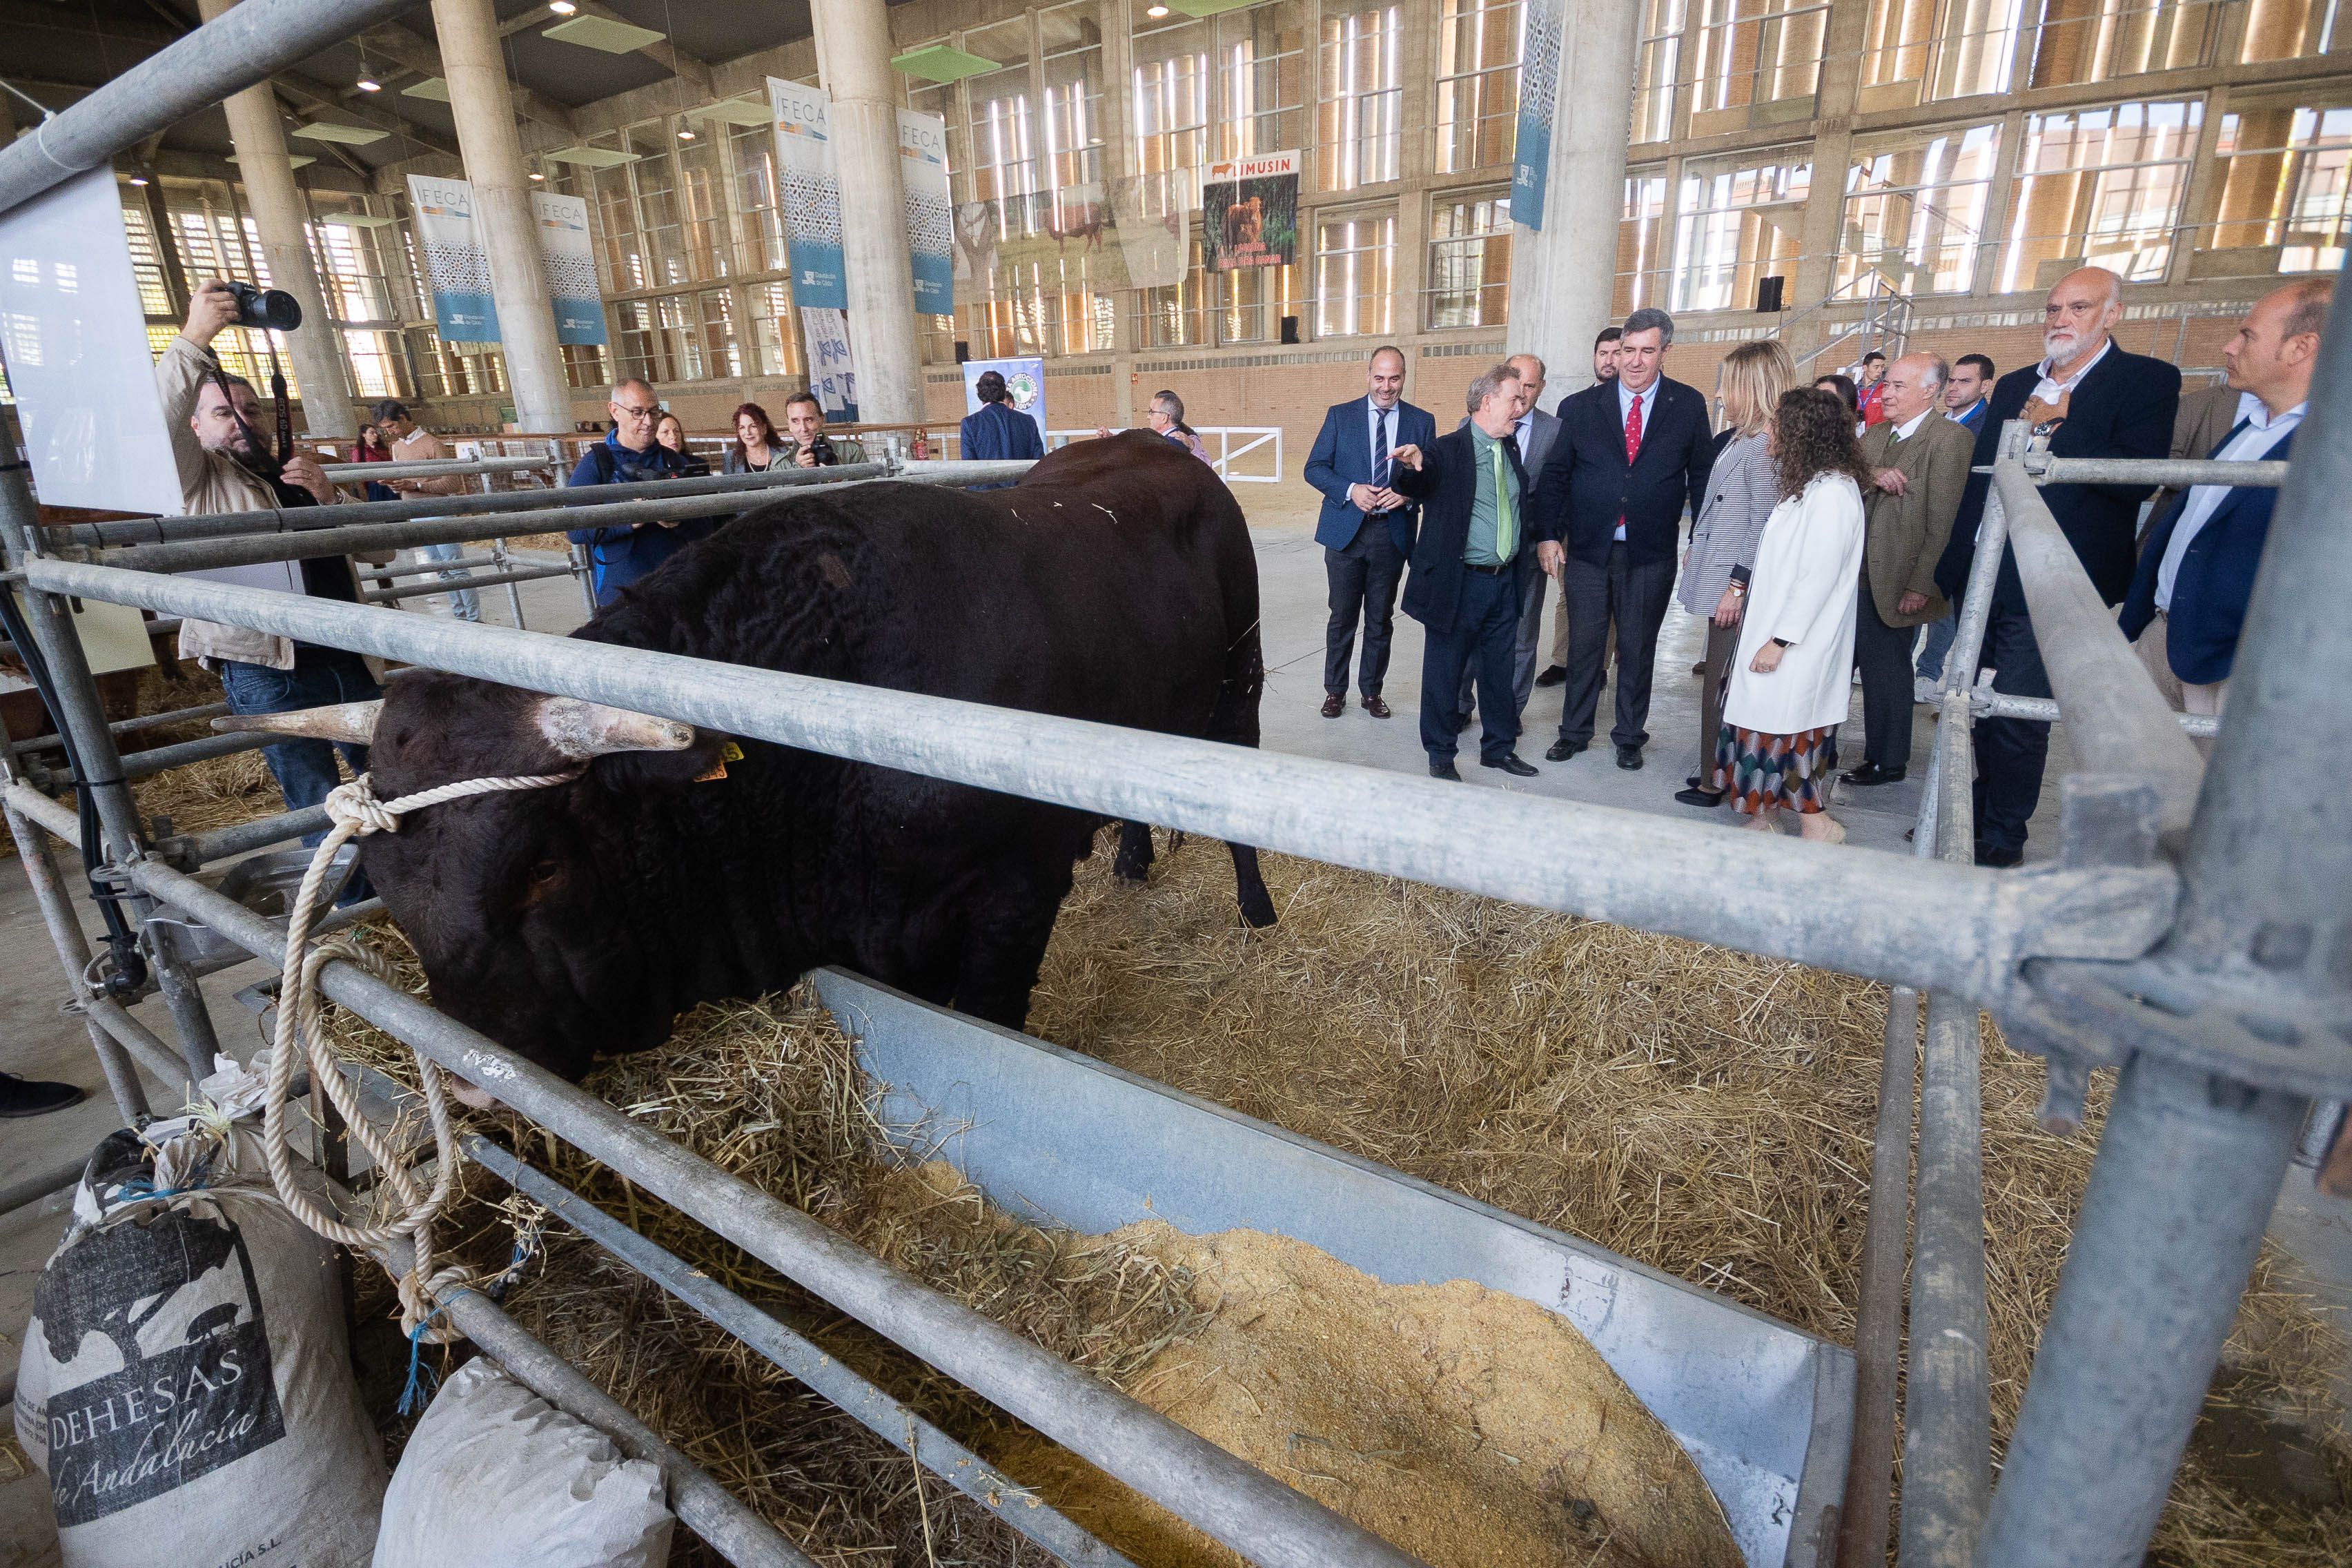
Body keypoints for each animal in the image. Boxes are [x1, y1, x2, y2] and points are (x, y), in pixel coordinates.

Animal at [364, 435, 1279, 1086]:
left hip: (1240, 685)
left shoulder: (1013, 899)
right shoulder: (887, 930)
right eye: (382, 879)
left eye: (542, 867)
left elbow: (990, 1020)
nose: (469, 1074)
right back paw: (1130, 861)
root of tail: (1158, 444)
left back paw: (1257, 909)